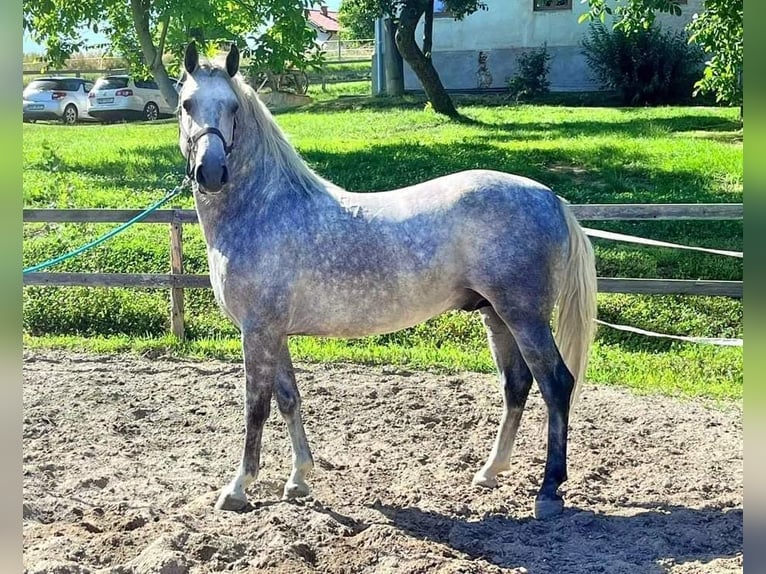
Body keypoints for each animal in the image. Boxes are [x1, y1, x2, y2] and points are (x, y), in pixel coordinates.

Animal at [180, 44, 600, 520]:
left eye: (233, 106)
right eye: (187, 104)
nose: (211, 172)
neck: (265, 209)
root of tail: (551, 198)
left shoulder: (257, 332)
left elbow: (256, 407)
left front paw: (238, 489)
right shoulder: (274, 333)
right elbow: (289, 400)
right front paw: (299, 480)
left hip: (526, 317)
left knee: (556, 385)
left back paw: (548, 492)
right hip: (498, 317)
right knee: (517, 386)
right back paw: (490, 471)